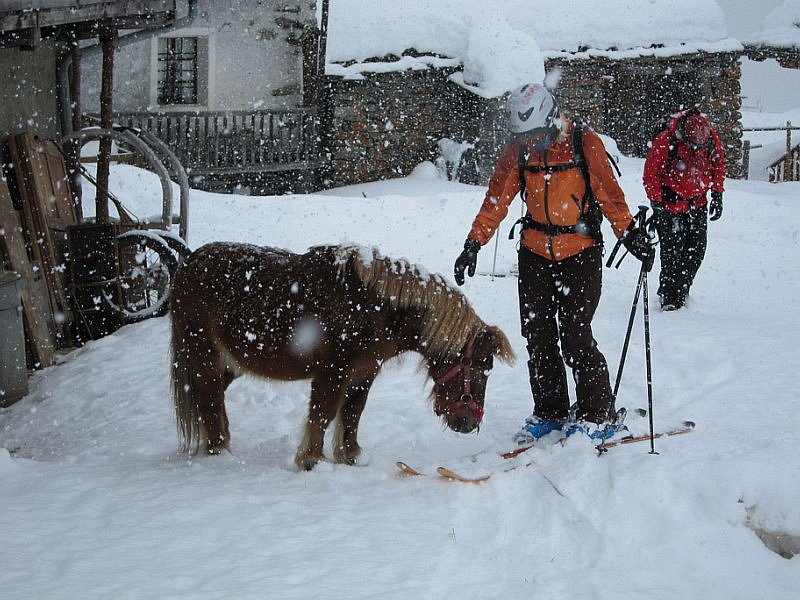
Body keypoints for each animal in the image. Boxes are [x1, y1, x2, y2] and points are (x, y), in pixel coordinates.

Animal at [171, 241, 516, 472]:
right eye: (481, 367)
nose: (469, 423)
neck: (374, 309)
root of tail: (188, 263)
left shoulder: (364, 374)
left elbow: (352, 414)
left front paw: (350, 456)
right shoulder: (332, 374)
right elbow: (323, 414)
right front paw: (310, 460)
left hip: (229, 364)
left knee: (213, 399)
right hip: (204, 356)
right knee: (208, 399)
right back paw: (218, 451)